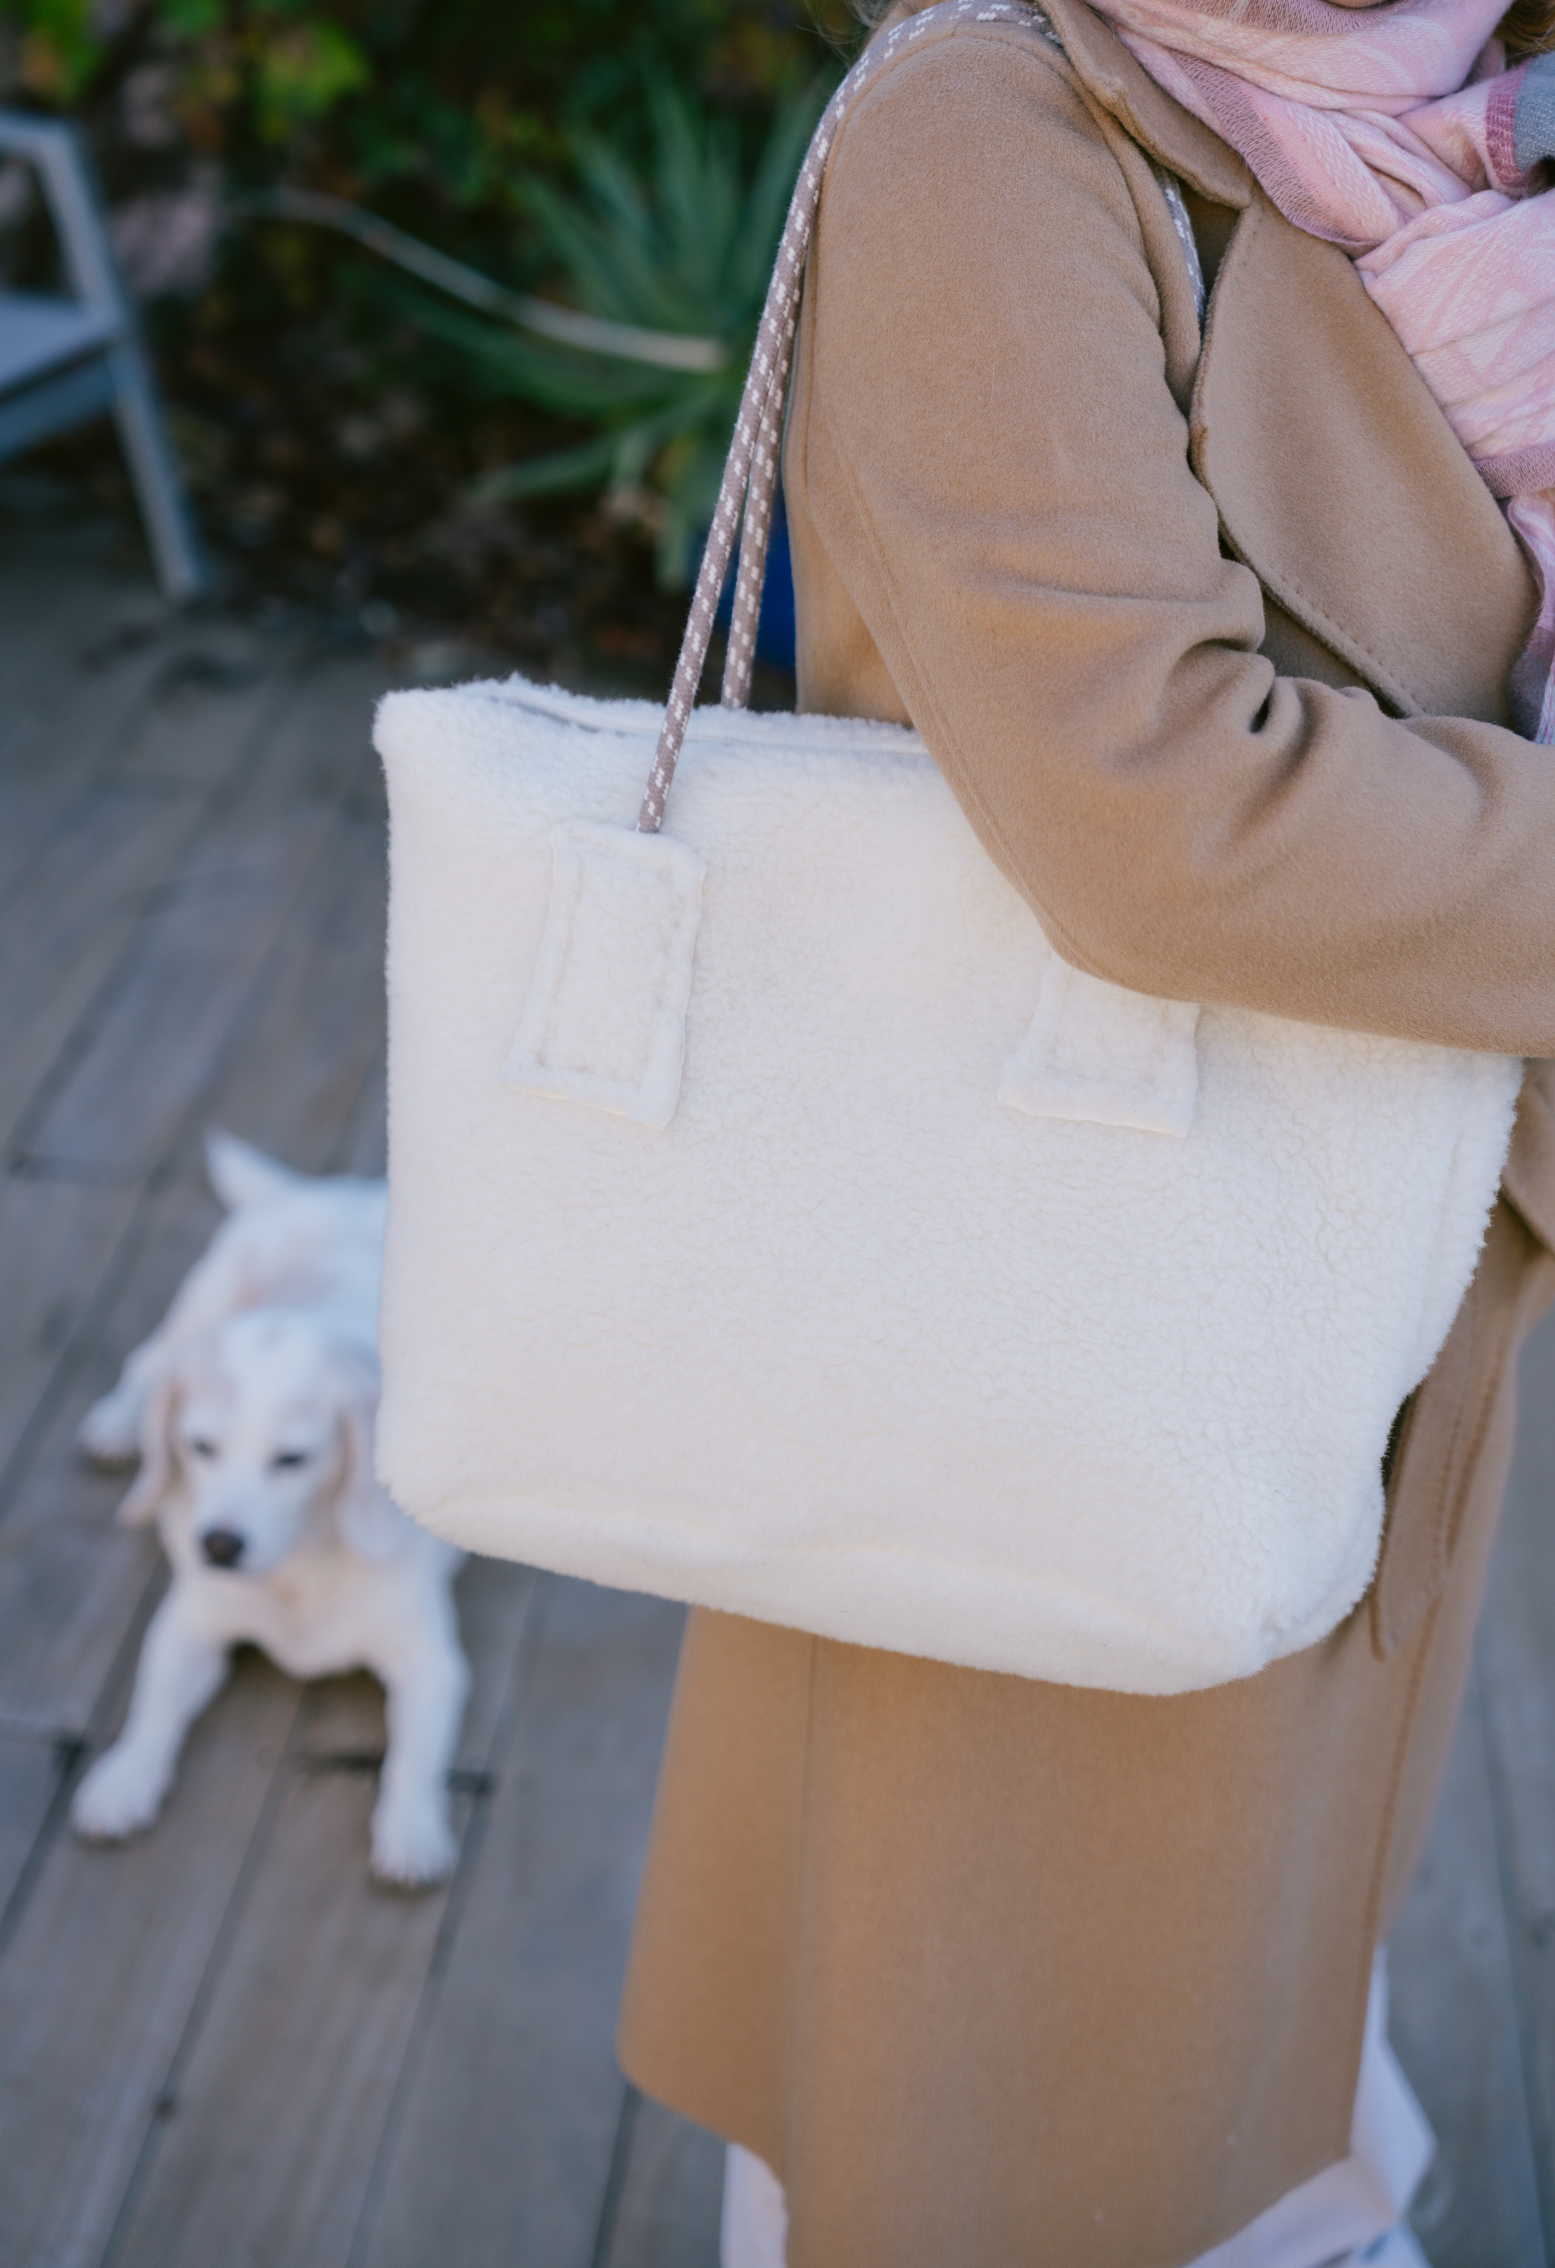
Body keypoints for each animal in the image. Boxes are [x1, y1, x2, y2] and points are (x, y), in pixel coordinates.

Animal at [74, 1134, 469, 1896]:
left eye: (292, 1460)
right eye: (200, 1447)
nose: (219, 1545)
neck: (299, 1570)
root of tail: (327, 1192)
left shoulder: (431, 1666)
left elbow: (414, 1758)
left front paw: (410, 1832)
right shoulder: (189, 1628)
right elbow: (151, 1713)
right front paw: (123, 1781)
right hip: (202, 1302)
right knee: (147, 1361)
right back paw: (115, 1422)